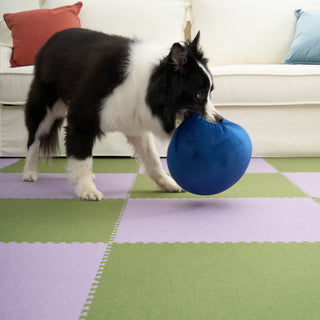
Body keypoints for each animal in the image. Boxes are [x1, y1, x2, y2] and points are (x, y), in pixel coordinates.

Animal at [23, 28, 222, 201]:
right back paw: (29, 172)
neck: (149, 82)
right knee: (34, 139)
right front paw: (87, 190)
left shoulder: (135, 122)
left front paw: (168, 184)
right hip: (44, 107)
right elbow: (83, 157)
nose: (220, 119)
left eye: (210, 92)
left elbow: (153, 160)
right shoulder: (82, 118)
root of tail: (51, 39)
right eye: (199, 95)